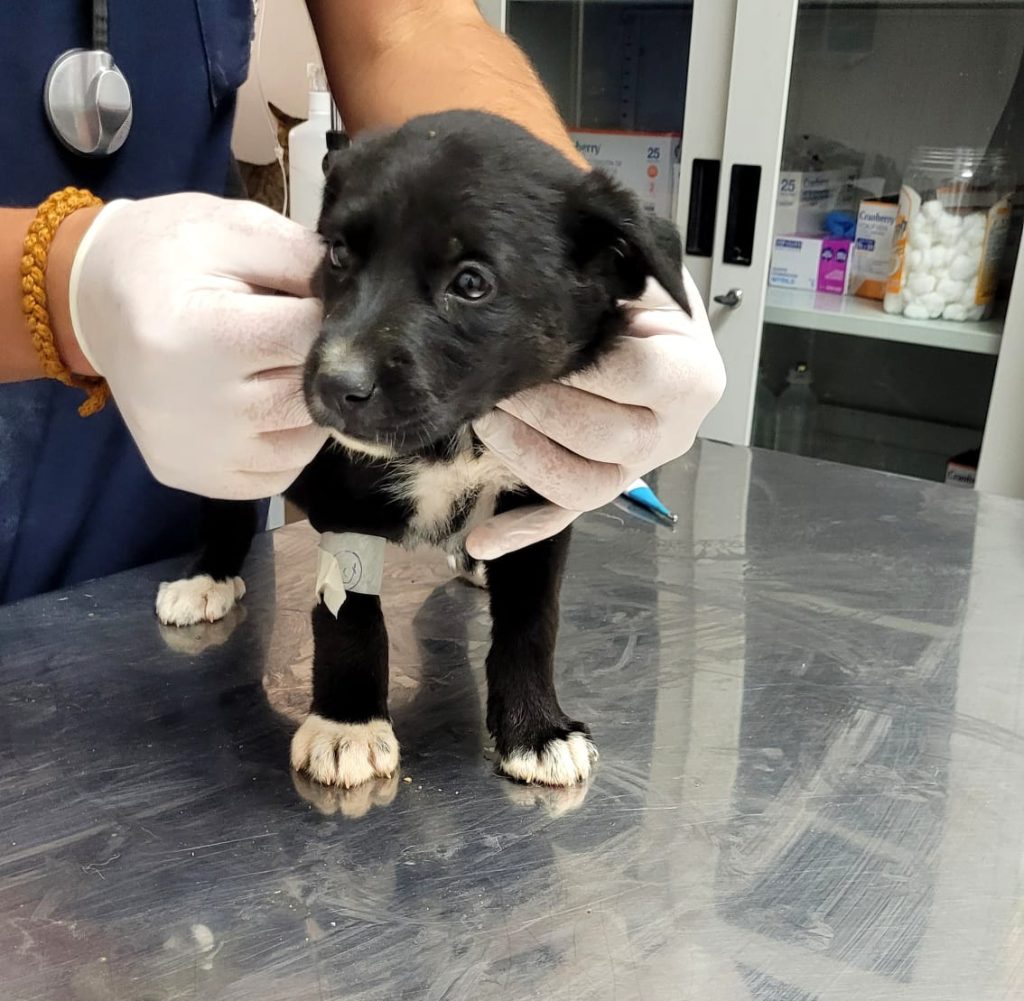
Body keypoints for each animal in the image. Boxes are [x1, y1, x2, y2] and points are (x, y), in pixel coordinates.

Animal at [155, 110, 690, 789]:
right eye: (338, 253)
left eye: (472, 283)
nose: (333, 384)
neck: (460, 433)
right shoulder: (345, 498)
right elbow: (350, 620)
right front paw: (348, 724)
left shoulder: (541, 502)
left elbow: (532, 621)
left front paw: (536, 729)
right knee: (223, 505)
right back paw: (207, 578)